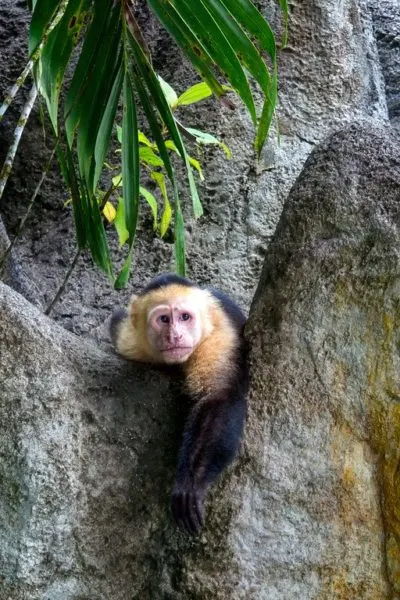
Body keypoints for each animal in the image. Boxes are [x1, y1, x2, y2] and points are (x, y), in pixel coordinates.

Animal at [109, 274, 247, 536]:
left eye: (185, 317)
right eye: (164, 319)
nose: (174, 336)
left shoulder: (219, 331)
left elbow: (220, 397)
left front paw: (191, 483)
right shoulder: (130, 339)